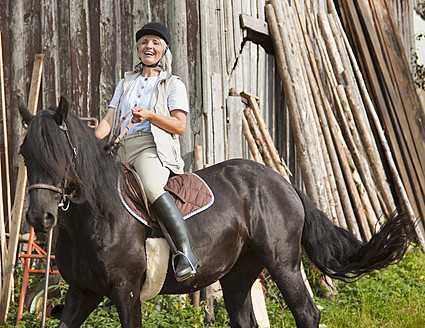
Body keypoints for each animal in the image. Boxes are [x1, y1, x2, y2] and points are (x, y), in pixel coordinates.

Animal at [18, 95, 412, 328]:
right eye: (24, 153)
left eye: (61, 154)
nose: (40, 218)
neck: (94, 217)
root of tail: (280, 180)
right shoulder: (82, 292)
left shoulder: (125, 290)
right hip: (239, 272)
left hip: (282, 263)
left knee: (307, 313)